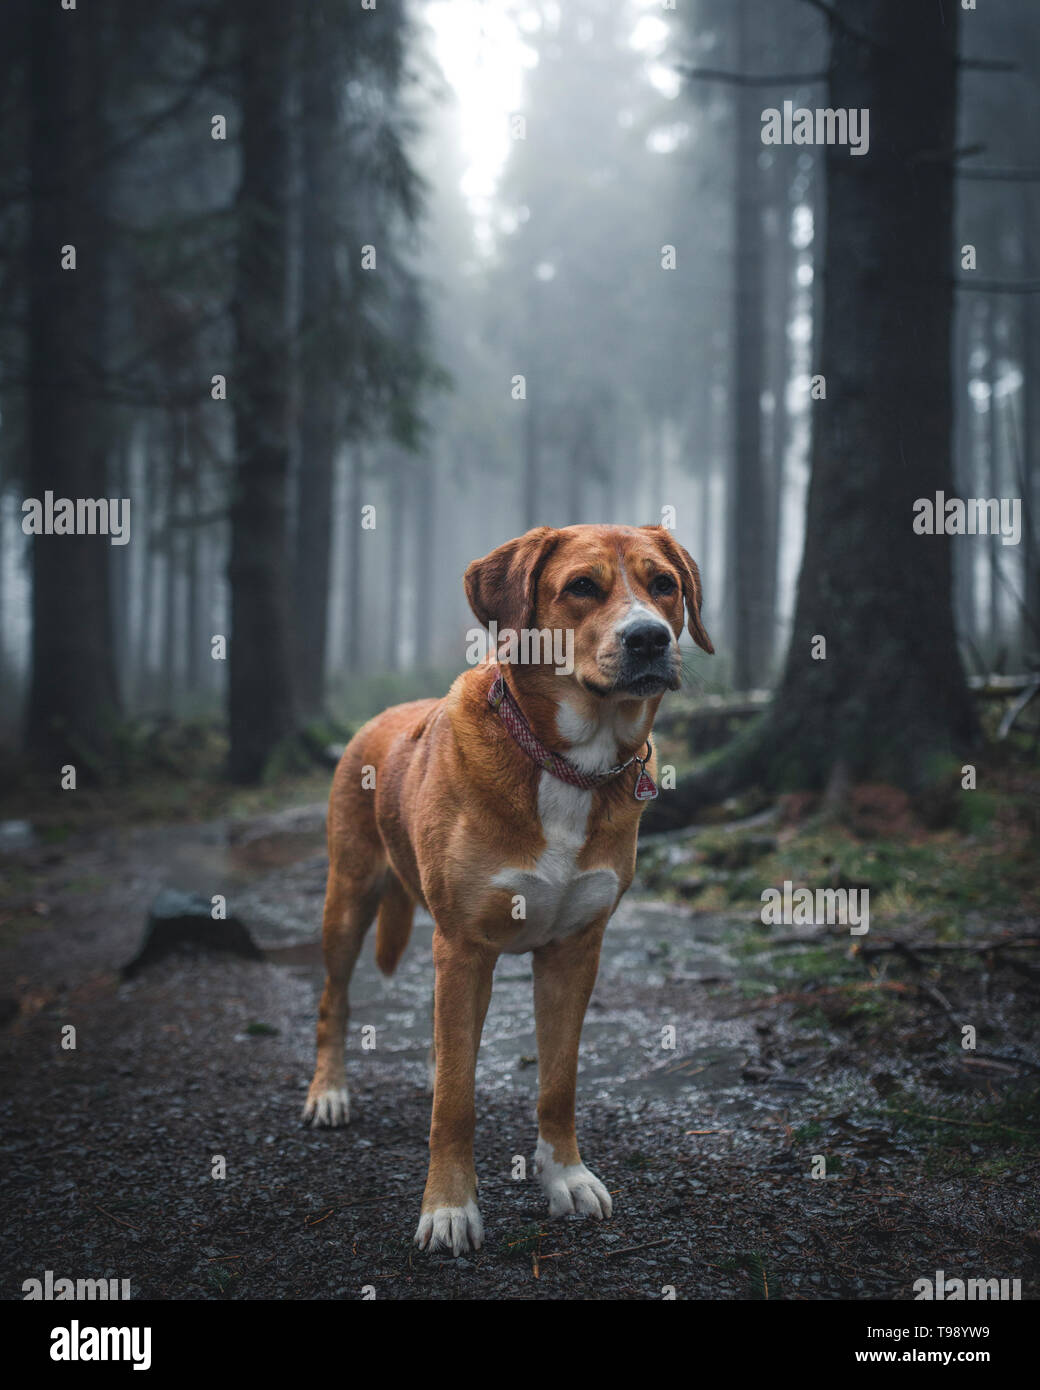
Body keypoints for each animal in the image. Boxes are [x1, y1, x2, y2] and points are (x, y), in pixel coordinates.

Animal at [300, 522, 706, 1262]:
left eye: (664, 584)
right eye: (582, 587)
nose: (649, 638)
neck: (567, 764)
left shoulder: (575, 951)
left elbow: (559, 1083)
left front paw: (564, 1177)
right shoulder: (464, 949)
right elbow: (456, 1103)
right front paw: (448, 1207)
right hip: (347, 898)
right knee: (332, 1001)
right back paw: (328, 1091)